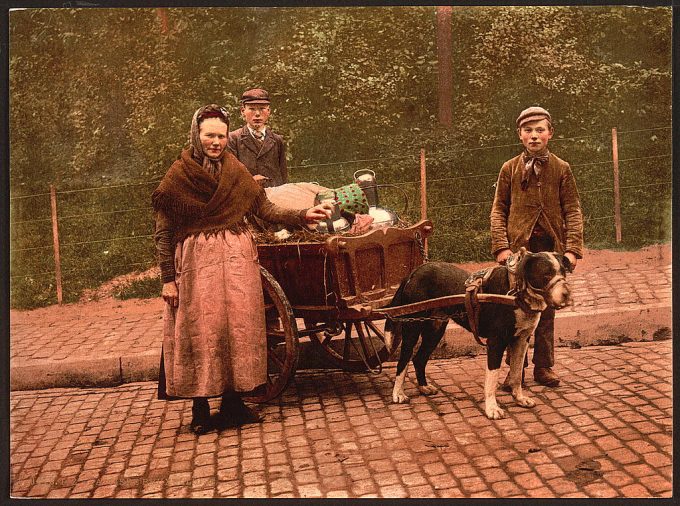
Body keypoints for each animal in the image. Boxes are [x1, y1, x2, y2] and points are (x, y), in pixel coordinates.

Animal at [386, 248, 572, 420]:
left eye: (563, 272)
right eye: (546, 275)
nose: (567, 294)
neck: (517, 294)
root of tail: (413, 272)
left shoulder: (522, 340)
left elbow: (517, 373)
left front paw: (519, 398)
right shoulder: (496, 342)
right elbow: (492, 379)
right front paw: (492, 408)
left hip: (435, 330)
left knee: (419, 359)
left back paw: (424, 387)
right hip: (412, 327)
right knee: (403, 360)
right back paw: (398, 394)